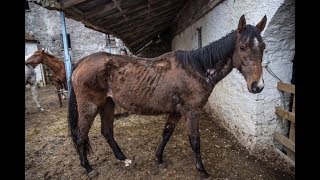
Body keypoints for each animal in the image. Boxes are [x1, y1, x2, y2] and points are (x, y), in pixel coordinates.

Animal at [68, 14, 268, 178]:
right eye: (242, 47)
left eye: (263, 46)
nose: (257, 86)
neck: (196, 69)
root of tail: (82, 63)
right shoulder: (191, 112)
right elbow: (195, 141)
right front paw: (202, 170)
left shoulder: (177, 112)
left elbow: (166, 133)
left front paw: (158, 158)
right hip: (89, 107)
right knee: (80, 135)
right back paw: (88, 168)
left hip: (107, 104)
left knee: (107, 132)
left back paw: (123, 159)